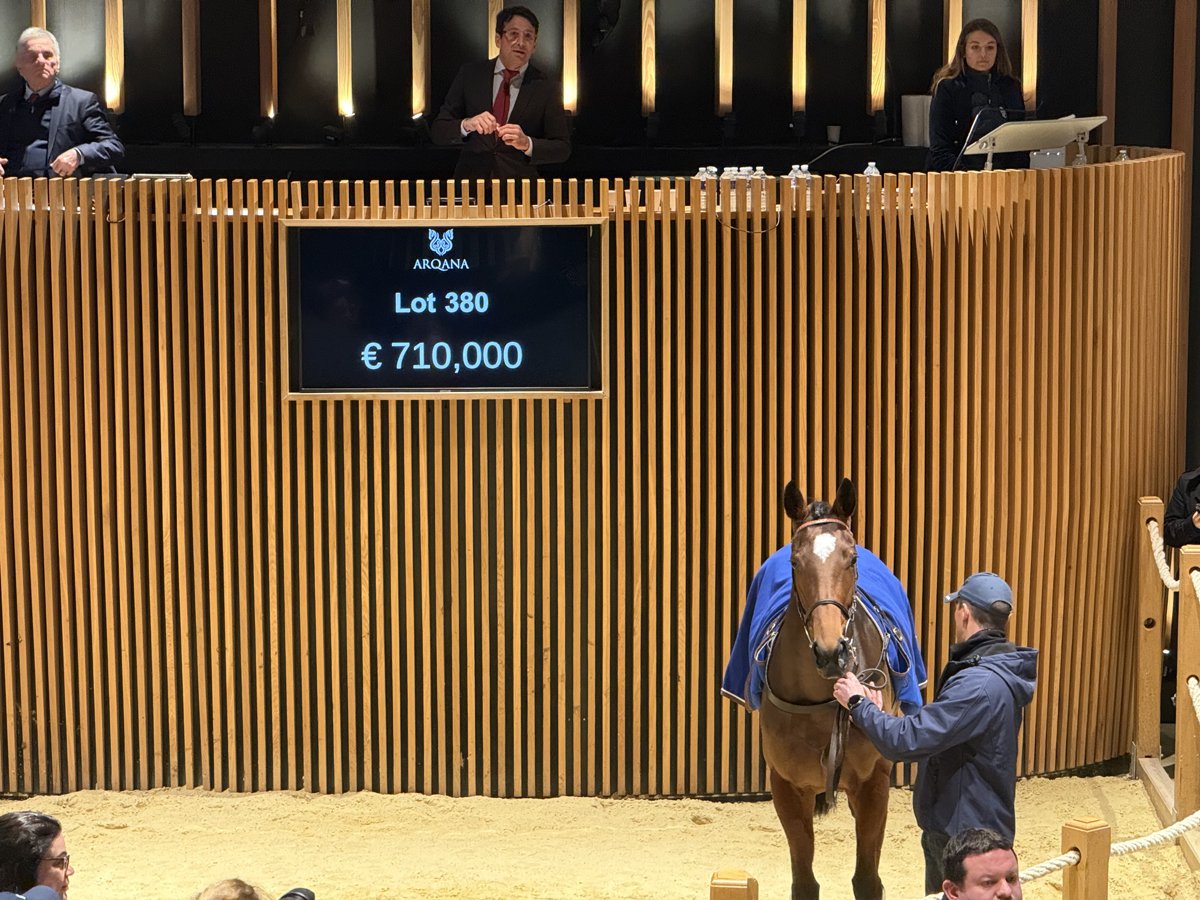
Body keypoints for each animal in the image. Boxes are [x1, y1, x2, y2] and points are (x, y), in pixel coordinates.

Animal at [760, 478, 897, 900]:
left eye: (852, 560)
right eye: (793, 562)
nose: (830, 652)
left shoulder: (874, 783)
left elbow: (867, 880)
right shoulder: (787, 787)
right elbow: (804, 881)